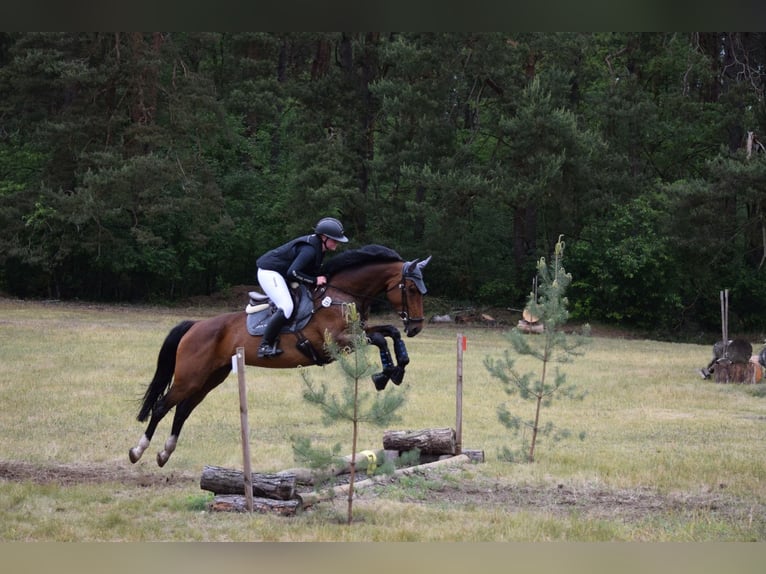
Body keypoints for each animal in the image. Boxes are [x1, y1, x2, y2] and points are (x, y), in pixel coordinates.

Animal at [129, 244, 431, 467]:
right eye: (411, 289)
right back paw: (138, 451)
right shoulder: (337, 343)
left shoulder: (357, 334)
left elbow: (390, 332)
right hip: (190, 377)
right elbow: (380, 338)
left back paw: (164, 454)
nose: (416, 327)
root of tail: (195, 326)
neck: (341, 294)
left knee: (183, 409)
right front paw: (385, 374)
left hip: (210, 378)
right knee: (162, 406)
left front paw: (398, 369)